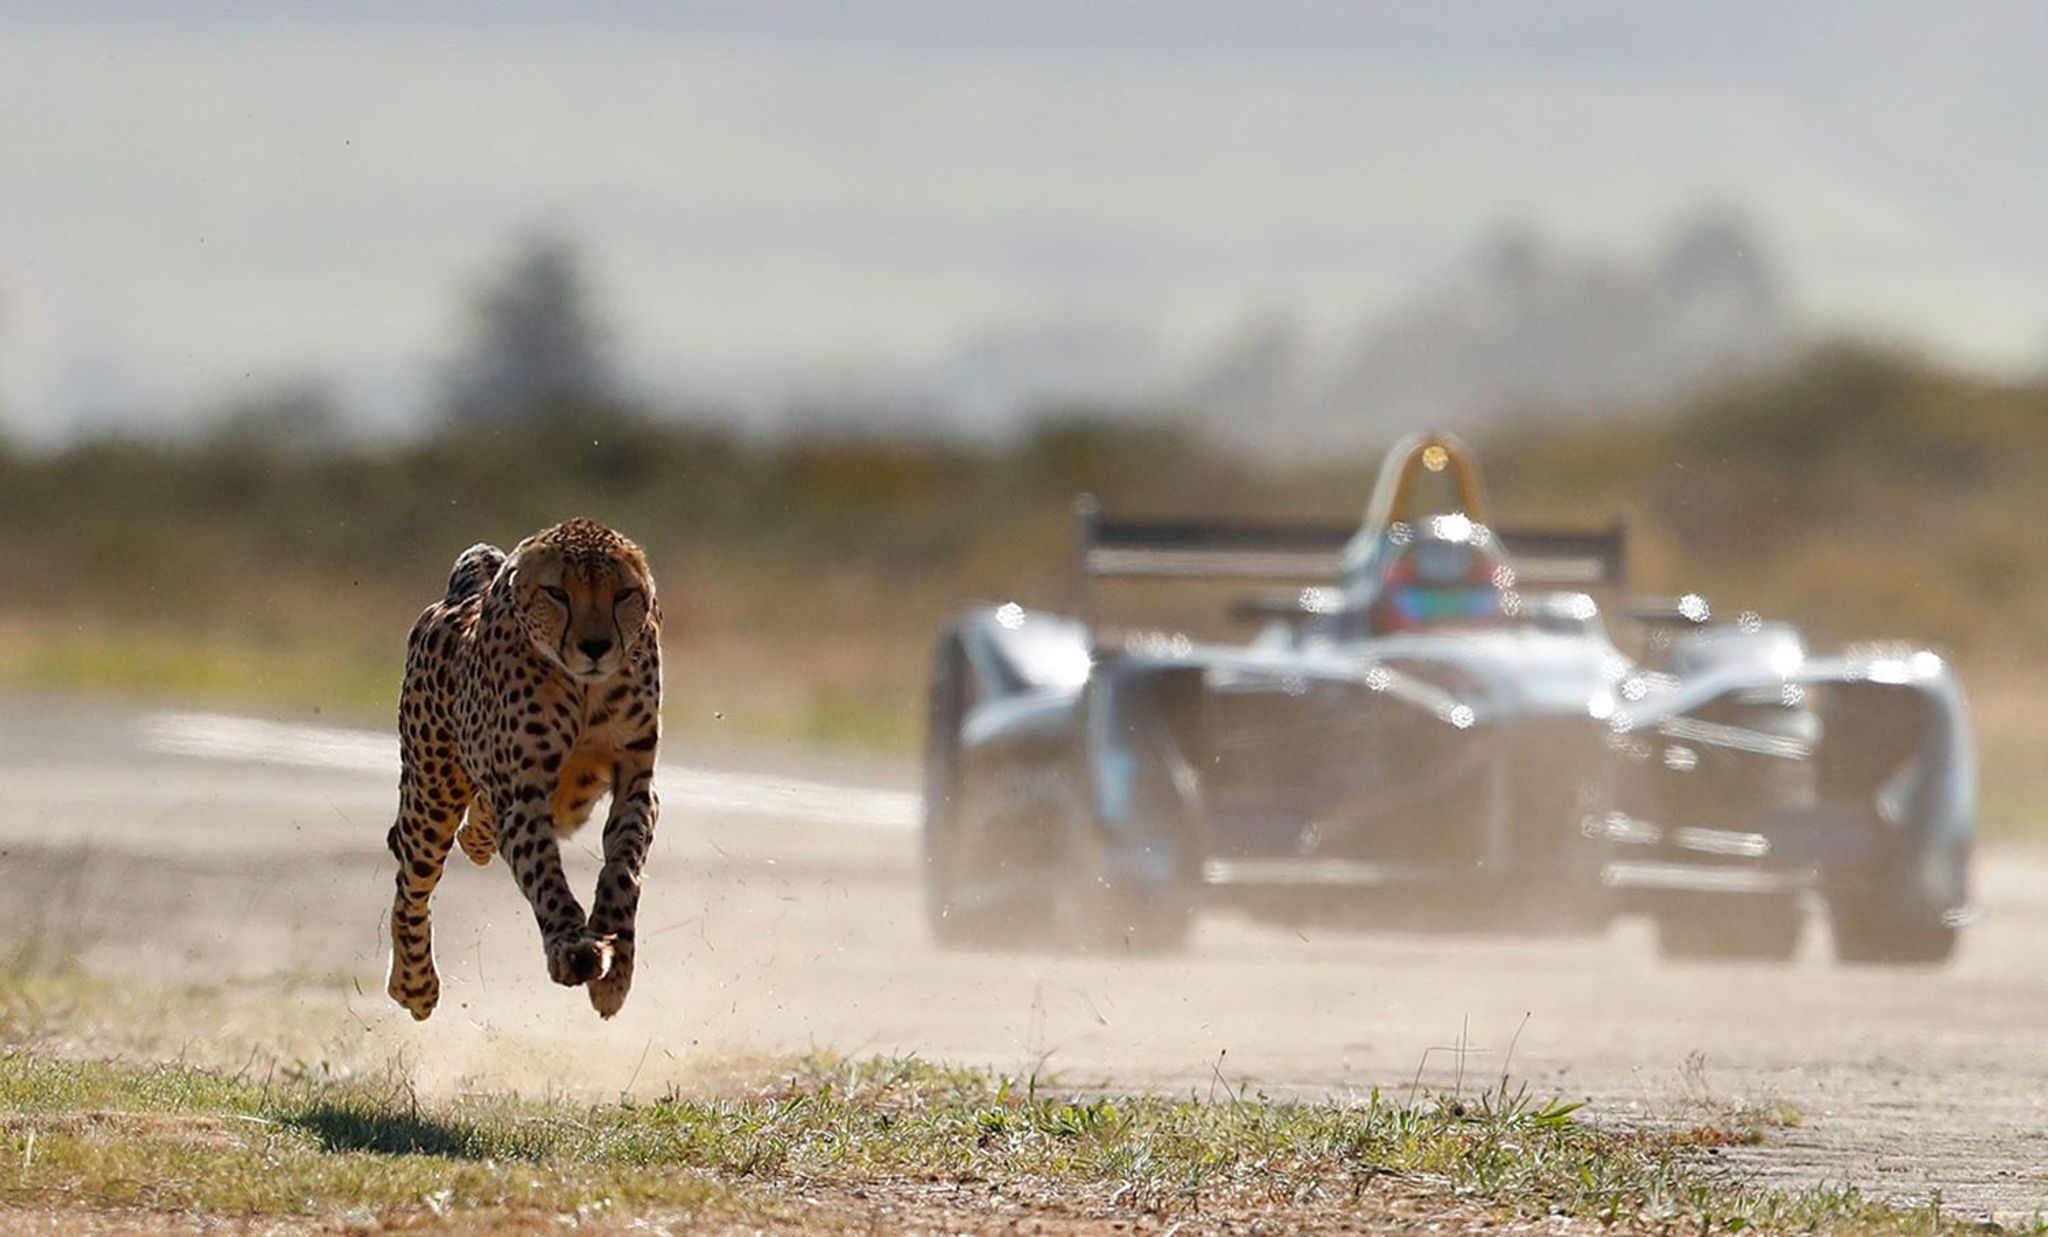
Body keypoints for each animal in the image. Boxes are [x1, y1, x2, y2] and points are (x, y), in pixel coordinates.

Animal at [385, 517, 662, 1021]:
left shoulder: (636, 783)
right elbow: (542, 870)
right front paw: (572, 945)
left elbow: (623, 867)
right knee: (411, 879)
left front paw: (616, 967)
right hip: (432, 795)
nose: (596, 646)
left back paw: (476, 840)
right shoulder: (522, 791)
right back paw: (413, 984)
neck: (584, 688)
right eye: (557, 593)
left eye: (622, 594)